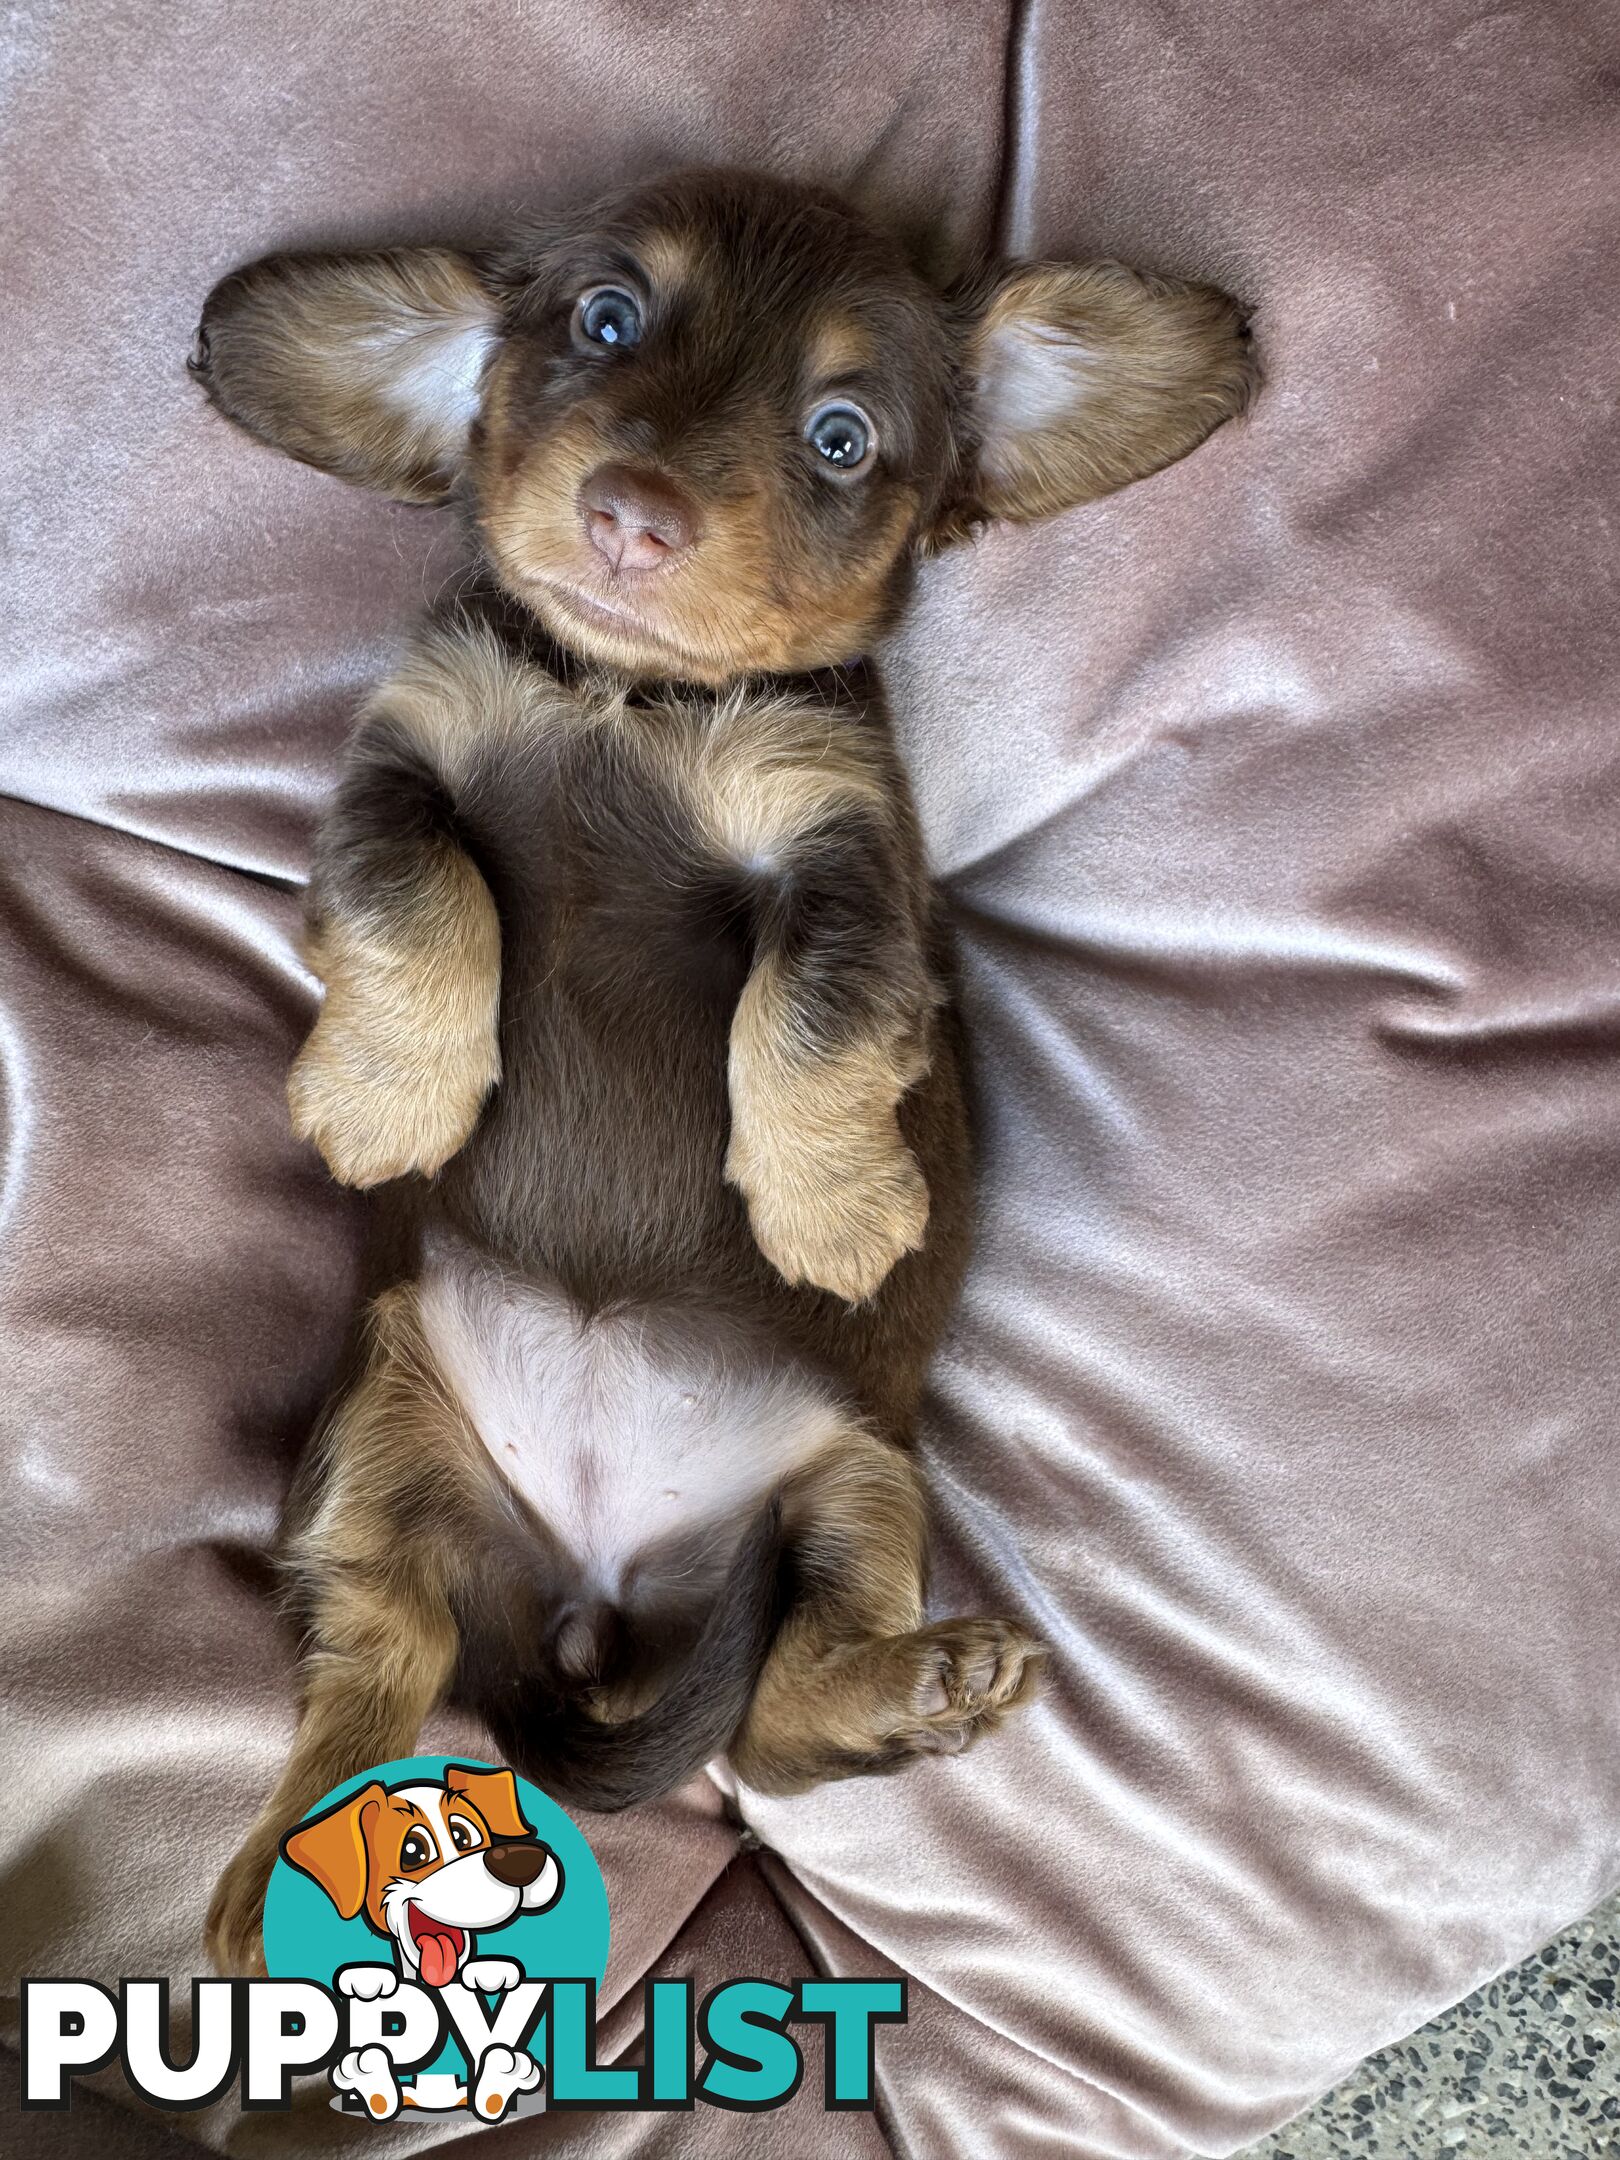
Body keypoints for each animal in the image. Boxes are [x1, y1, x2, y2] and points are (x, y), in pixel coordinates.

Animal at [193, 164, 1252, 1978]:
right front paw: (388, 1098)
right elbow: (427, 898)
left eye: (840, 434)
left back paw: (925, 1685)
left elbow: (805, 1018)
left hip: (858, 1485)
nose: (633, 514)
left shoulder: (835, 849)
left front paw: (834, 1209)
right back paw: (282, 1885)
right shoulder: (405, 757)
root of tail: (593, 1573)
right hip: (374, 1436)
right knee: (379, 1673)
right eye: (608, 322)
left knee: (777, 1714)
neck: (629, 695)